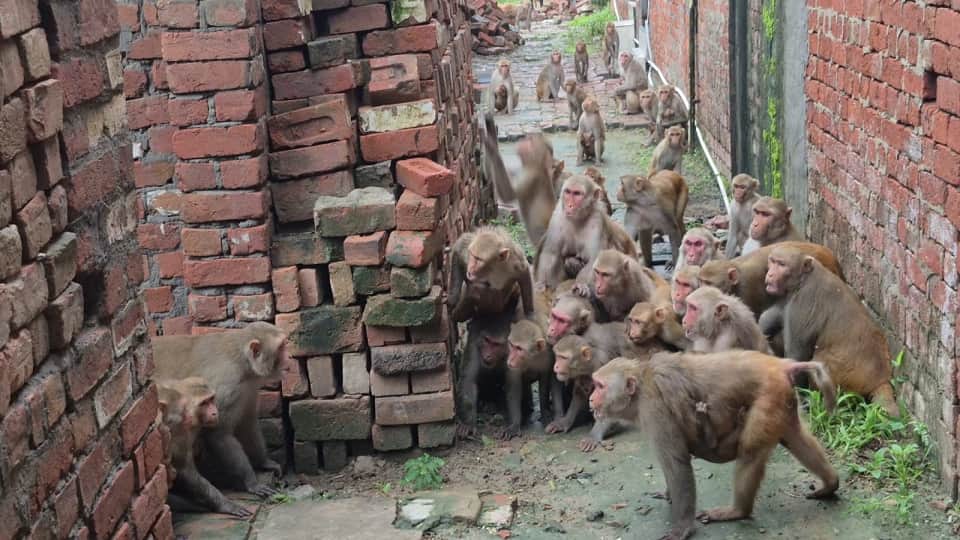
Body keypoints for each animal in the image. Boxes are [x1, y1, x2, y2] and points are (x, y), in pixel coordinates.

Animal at [152, 322, 289, 498]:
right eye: (281, 347)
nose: (289, 357)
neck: (243, 363)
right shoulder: (228, 387)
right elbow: (219, 434)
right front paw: (252, 482)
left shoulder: (248, 388)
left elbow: (247, 424)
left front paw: (264, 462)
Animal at [158, 377, 251, 517]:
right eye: (204, 403)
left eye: (211, 399)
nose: (214, 412)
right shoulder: (178, 427)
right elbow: (184, 470)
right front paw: (225, 505)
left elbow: (183, 468)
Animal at [589, 353, 839, 540]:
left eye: (599, 386)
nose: (590, 398)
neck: (641, 387)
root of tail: (780, 364)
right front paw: (668, 494)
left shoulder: (654, 408)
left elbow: (677, 464)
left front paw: (683, 528)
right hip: (782, 400)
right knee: (795, 439)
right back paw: (831, 483)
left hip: (768, 399)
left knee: (750, 453)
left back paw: (737, 511)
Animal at [763, 245, 899, 416]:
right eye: (772, 261)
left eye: (781, 264)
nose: (770, 274)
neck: (803, 279)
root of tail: (881, 378)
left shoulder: (802, 303)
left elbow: (796, 355)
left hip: (847, 376)